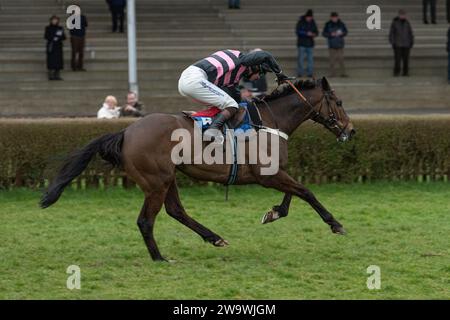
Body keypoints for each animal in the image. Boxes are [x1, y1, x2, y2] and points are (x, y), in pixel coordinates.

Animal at [40, 76, 356, 262]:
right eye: (339, 102)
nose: (351, 131)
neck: (269, 120)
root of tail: (126, 131)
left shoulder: (276, 172)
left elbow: (294, 195)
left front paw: (273, 213)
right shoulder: (268, 175)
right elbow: (307, 191)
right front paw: (336, 224)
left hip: (168, 177)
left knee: (175, 211)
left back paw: (214, 238)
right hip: (157, 180)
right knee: (146, 220)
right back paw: (160, 258)